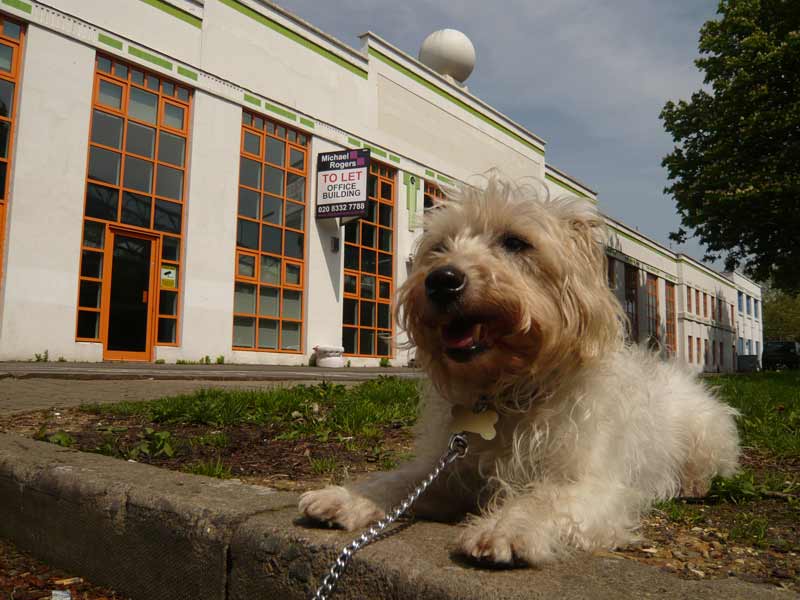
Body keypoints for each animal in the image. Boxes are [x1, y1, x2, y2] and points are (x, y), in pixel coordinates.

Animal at [298, 177, 736, 564]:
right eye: (439, 247)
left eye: (515, 242)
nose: (441, 280)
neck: (509, 389)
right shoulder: (449, 472)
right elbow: (400, 479)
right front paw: (349, 496)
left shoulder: (595, 485)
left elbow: (545, 497)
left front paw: (506, 528)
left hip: (707, 435)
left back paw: (692, 483)